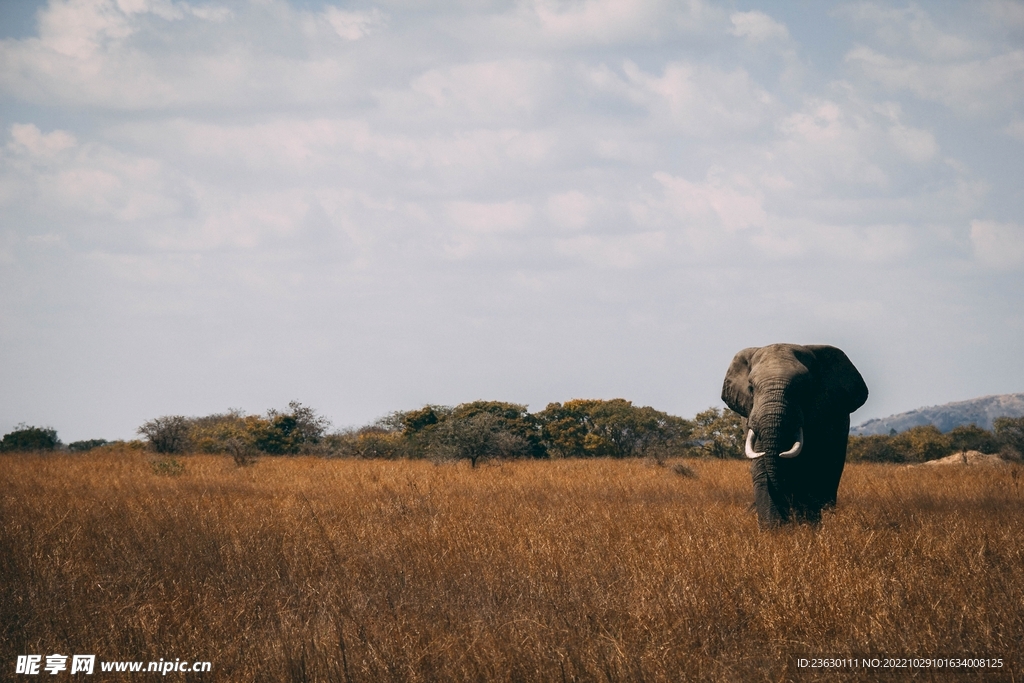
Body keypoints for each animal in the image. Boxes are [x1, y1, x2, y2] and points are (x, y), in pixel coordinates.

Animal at [720, 348, 872, 528]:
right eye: (751, 388)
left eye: (803, 388)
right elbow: (762, 468)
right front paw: (774, 530)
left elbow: (810, 469)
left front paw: (806, 527)